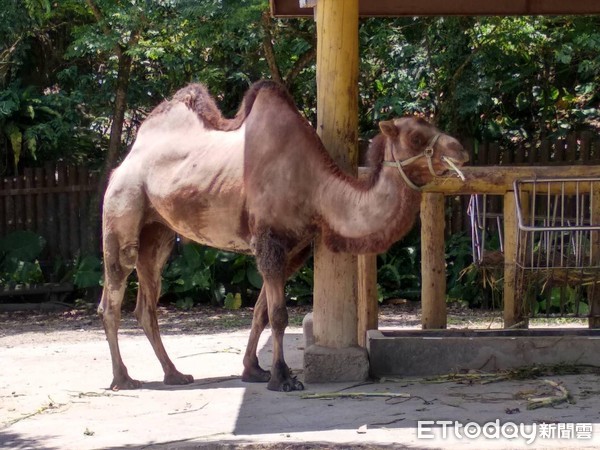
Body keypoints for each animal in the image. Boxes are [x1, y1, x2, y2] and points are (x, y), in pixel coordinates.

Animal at [98, 80, 468, 390]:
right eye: (416, 137)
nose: (461, 151)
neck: (316, 189)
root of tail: (126, 159)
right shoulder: (269, 240)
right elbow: (278, 315)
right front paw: (282, 378)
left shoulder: (294, 249)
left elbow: (261, 312)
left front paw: (254, 370)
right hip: (121, 207)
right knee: (113, 293)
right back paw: (122, 378)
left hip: (157, 232)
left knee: (147, 302)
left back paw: (174, 374)